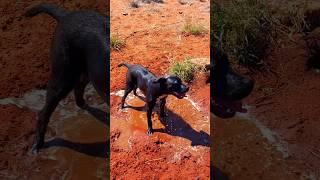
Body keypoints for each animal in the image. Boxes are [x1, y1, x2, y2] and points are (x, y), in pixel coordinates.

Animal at [24, 3, 109, 152]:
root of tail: (66, 15)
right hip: (62, 76)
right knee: (43, 113)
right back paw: (37, 145)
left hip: (85, 71)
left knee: (79, 88)